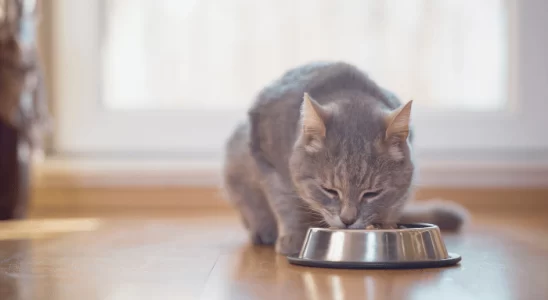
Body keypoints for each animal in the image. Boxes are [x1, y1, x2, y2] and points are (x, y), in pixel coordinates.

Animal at [222, 61, 466, 255]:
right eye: (329, 190)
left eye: (372, 193)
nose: (348, 220)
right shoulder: (270, 165)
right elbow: (286, 204)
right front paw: (294, 237)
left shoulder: (402, 190)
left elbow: (393, 205)